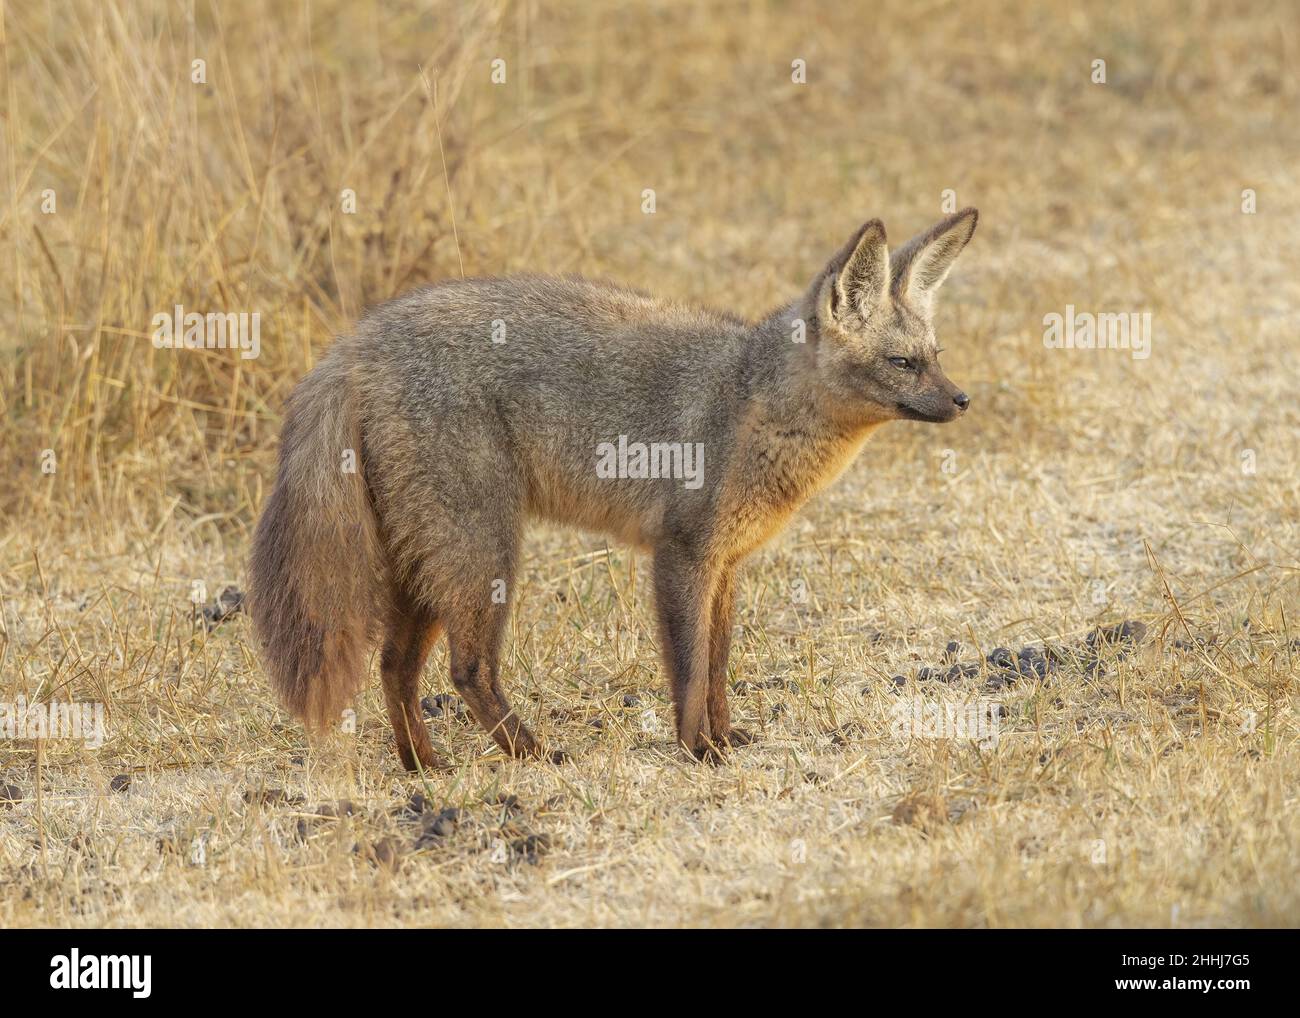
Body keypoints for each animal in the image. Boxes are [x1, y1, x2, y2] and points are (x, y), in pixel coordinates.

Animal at [248, 207, 979, 768]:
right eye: (902, 363)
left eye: (937, 356)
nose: (963, 401)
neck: (755, 402)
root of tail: (356, 340)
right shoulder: (681, 554)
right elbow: (688, 668)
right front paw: (698, 751)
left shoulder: (726, 565)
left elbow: (717, 668)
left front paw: (724, 739)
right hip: (483, 554)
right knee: (466, 669)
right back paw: (532, 753)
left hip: (426, 564)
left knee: (394, 666)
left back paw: (424, 767)